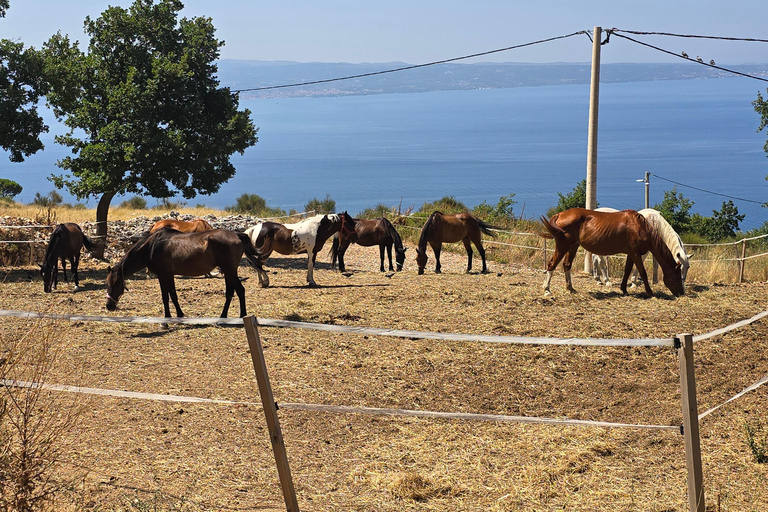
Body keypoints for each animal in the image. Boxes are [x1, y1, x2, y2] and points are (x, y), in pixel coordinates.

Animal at [104, 227, 272, 316]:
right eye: (107, 283)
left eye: (116, 283)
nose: (108, 306)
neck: (152, 247)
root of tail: (236, 234)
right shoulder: (169, 275)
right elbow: (173, 295)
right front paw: (179, 314)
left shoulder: (162, 275)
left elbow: (165, 297)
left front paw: (167, 318)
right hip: (228, 272)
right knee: (230, 292)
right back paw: (223, 316)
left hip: (229, 271)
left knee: (240, 290)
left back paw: (242, 315)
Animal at [540, 207, 684, 298]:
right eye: (677, 275)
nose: (681, 293)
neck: (640, 227)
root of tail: (559, 215)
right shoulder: (636, 253)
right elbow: (642, 272)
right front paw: (650, 293)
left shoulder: (631, 253)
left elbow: (627, 270)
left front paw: (624, 290)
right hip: (563, 246)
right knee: (552, 264)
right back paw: (547, 290)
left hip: (573, 246)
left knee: (566, 265)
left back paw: (570, 288)